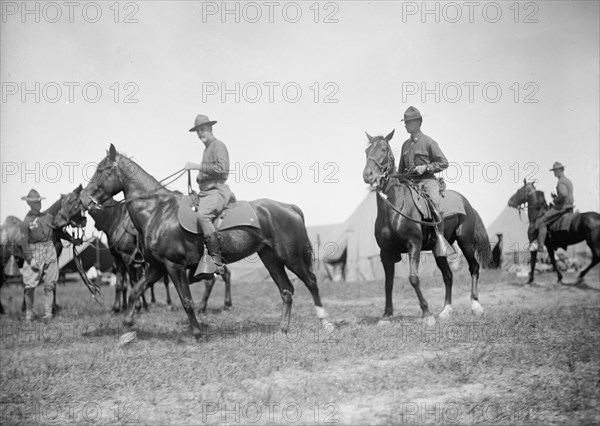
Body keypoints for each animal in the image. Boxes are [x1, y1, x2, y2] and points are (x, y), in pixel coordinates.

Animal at [54, 144, 332, 340]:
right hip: (270, 258)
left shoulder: (173, 266)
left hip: (290, 257)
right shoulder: (156, 267)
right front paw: (128, 326)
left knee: (311, 282)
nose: (85, 199)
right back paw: (283, 329)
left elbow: (185, 300)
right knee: (286, 290)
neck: (157, 212)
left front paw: (197, 332)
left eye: (102, 170)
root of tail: (289, 207)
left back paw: (325, 321)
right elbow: (136, 289)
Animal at [364, 131, 490, 324]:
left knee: (474, 267)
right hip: (440, 250)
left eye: (384, 149)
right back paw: (446, 310)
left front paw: (427, 313)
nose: (368, 175)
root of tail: (466, 203)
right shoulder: (385, 252)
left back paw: (476, 306)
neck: (395, 209)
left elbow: (413, 278)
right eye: (366, 151)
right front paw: (386, 316)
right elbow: (388, 283)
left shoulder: (413, 245)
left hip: (465, 242)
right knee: (448, 276)